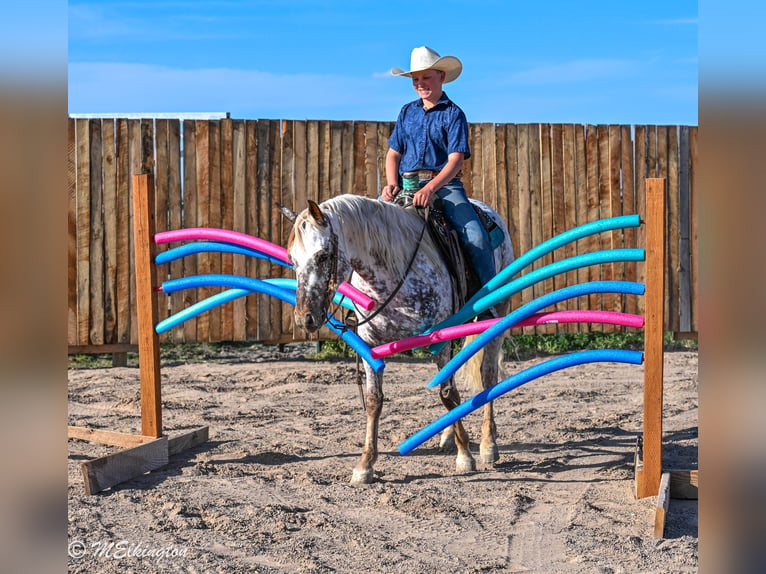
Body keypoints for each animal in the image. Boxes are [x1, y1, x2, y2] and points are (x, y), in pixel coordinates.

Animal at [282, 194, 514, 484]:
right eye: (293, 259)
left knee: (488, 376)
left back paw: (488, 445)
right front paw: (364, 466)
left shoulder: (440, 342)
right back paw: (448, 436)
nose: (305, 318)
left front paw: (465, 457)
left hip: (495, 317)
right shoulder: (371, 347)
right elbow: (374, 400)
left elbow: (448, 394)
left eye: (324, 256)